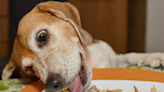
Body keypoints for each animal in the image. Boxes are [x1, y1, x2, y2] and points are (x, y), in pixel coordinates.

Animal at [1, 0, 164, 92]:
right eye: (29, 69)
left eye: (42, 36)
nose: (52, 85)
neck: (92, 61)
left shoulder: (114, 58)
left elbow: (131, 56)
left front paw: (156, 57)